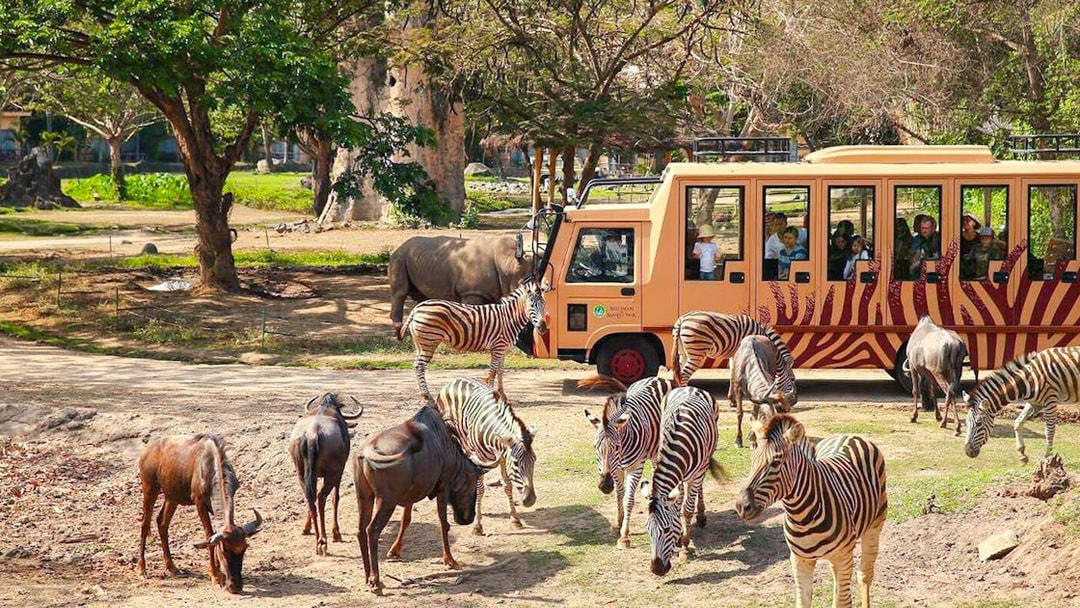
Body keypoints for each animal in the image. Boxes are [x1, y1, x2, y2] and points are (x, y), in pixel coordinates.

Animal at [398, 279, 549, 402]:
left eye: (544, 305)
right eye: (532, 306)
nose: (543, 328)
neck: (509, 318)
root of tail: (417, 308)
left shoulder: (503, 349)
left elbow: (500, 371)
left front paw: (502, 395)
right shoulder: (498, 346)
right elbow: (492, 371)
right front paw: (492, 395)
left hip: (420, 344)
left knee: (416, 365)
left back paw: (424, 396)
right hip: (429, 342)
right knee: (420, 366)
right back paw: (427, 397)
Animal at [581, 374, 674, 549]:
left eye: (617, 447)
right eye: (595, 447)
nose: (605, 486)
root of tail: (657, 378)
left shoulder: (635, 467)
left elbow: (628, 500)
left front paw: (624, 536)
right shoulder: (616, 469)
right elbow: (619, 494)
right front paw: (617, 524)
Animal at [638, 386, 724, 576]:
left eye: (666, 530)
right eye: (647, 530)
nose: (657, 570)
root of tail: (689, 387)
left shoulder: (697, 474)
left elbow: (687, 510)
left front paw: (684, 547)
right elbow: (676, 506)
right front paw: (679, 538)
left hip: (705, 461)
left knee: (698, 490)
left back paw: (701, 516)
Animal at [735, 414, 888, 608]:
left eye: (776, 462)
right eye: (752, 460)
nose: (741, 506)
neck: (802, 516)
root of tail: (851, 435)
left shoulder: (843, 556)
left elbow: (843, 601)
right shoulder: (799, 560)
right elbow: (804, 601)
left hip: (874, 526)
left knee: (865, 575)